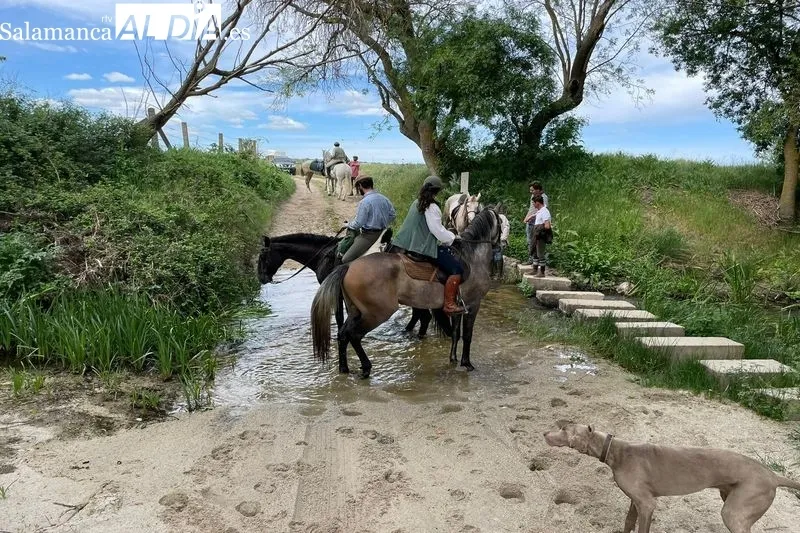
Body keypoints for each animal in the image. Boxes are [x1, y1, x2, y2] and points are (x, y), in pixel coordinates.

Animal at [257, 233, 447, 338]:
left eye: (262, 256)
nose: (261, 278)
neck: (324, 255)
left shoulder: (337, 293)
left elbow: (340, 316)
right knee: (420, 316)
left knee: (423, 316)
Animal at [311, 208, 502, 378]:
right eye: (502, 223)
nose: (503, 244)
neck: (472, 258)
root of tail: (348, 266)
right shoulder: (473, 304)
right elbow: (467, 335)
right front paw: (467, 363)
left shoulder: (458, 307)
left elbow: (456, 333)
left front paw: (453, 359)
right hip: (376, 313)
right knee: (355, 335)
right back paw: (366, 368)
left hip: (355, 311)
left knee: (343, 334)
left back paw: (344, 368)